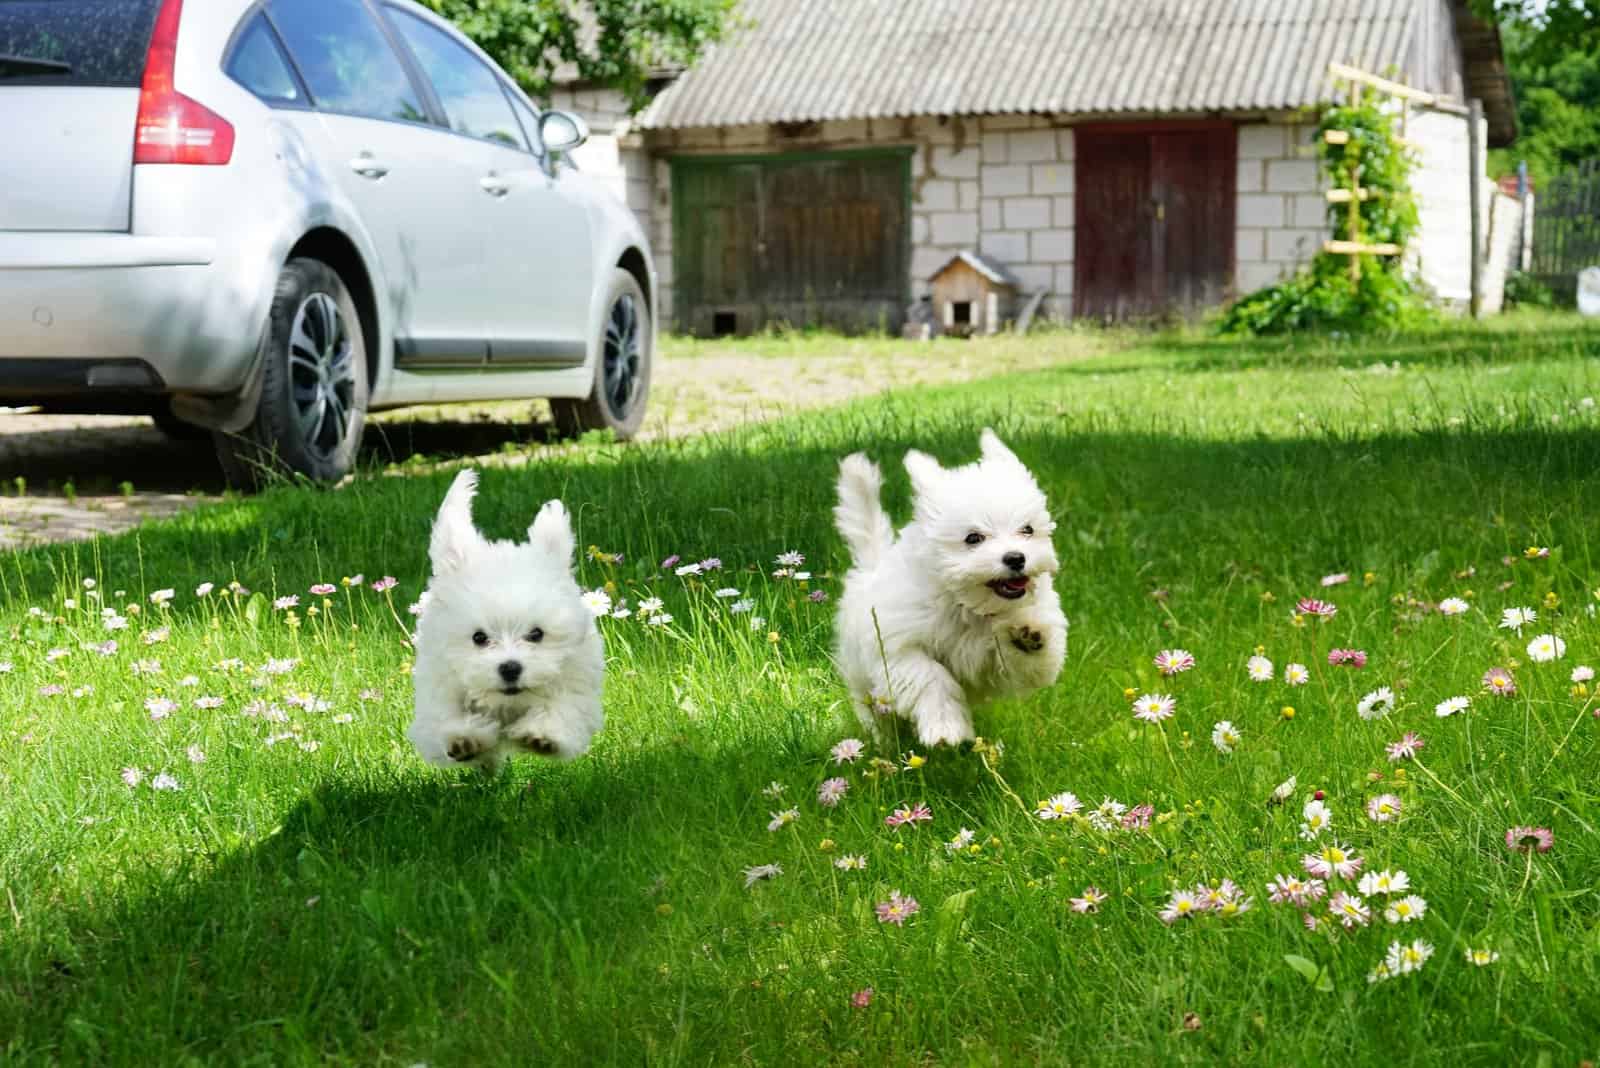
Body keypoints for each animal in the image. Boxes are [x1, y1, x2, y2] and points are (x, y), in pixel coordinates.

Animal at [412, 470, 604, 770]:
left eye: (536, 634)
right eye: (479, 637)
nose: (510, 668)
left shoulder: (577, 677)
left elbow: (564, 707)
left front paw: (543, 734)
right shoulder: (439, 680)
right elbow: (444, 715)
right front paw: (464, 738)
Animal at [832, 428, 1068, 748]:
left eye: (1027, 529)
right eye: (973, 538)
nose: (1016, 558)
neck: (967, 605)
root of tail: (871, 567)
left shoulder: (1001, 665)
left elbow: (1030, 663)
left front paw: (1029, 634)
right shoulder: (898, 648)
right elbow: (932, 677)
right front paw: (946, 728)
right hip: (861, 677)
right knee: (871, 709)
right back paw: (884, 740)